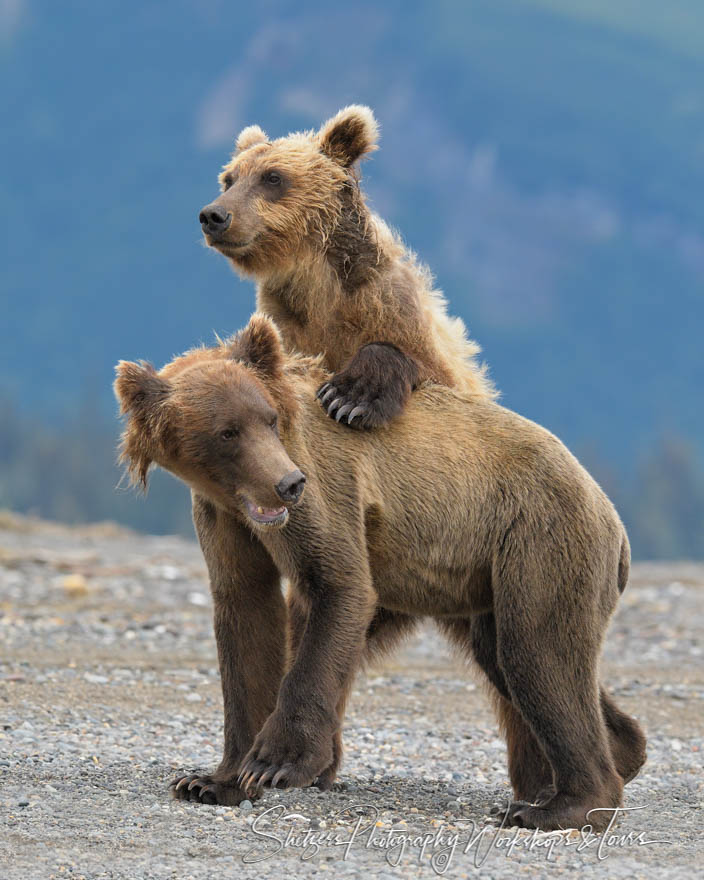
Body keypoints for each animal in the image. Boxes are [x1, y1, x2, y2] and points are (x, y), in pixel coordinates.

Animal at [114, 314, 644, 832]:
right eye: (228, 431)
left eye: (268, 419)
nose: (288, 483)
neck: (237, 498)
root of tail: (610, 513)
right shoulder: (225, 518)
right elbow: (246, 620)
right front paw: (210, 780)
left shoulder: (326, 486)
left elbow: (338, 586)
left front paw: (275, 764)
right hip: (495, 572)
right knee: (507, 655)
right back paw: (617, 752)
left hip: (538, 535)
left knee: (536, 651)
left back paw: (559, 806)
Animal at [198, 106, 496, 430]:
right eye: (229, 179)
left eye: (273, 177)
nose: (214, 215)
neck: (315, 280)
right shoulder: (285, 319)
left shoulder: (390, 308)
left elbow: (431, 370)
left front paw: (348, 398)